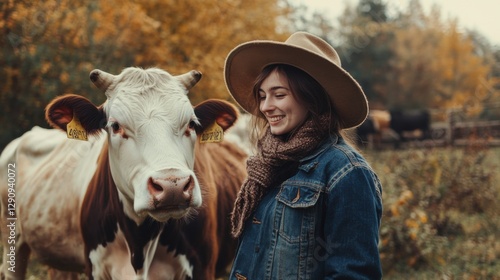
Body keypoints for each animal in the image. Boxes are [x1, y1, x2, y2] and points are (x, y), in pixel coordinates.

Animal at [0, 66, 248, 278]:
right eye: (116, 126)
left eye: (191, 124)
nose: (173, 186)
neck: (139, 246)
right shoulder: (95, 266)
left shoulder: (202, 266)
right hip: (12, 241)